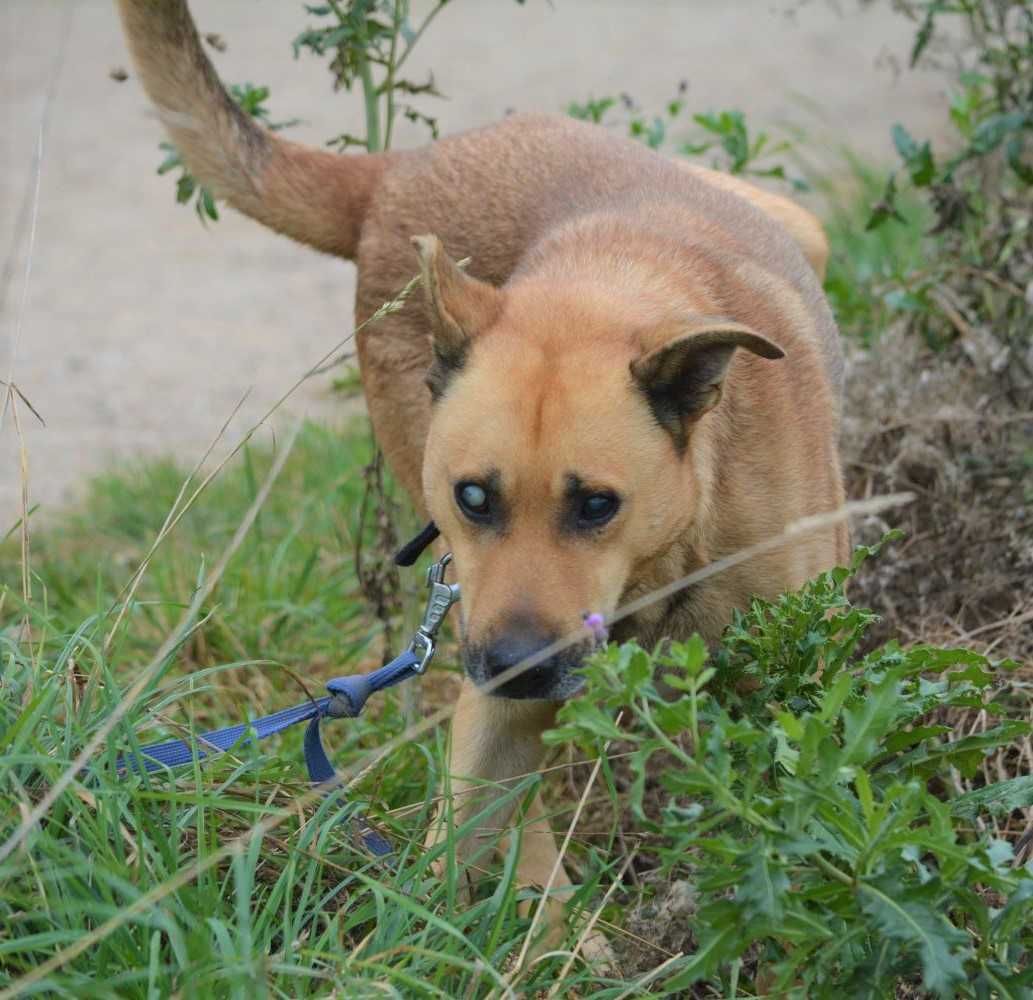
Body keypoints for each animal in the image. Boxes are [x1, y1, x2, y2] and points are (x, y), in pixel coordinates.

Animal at [118, 0, 847, 962]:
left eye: (596, 505)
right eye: (472, 497)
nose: (513, 665)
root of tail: (397, 169)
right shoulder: (497, 695)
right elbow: (463, 837)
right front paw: (421, 953)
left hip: (805, 225)